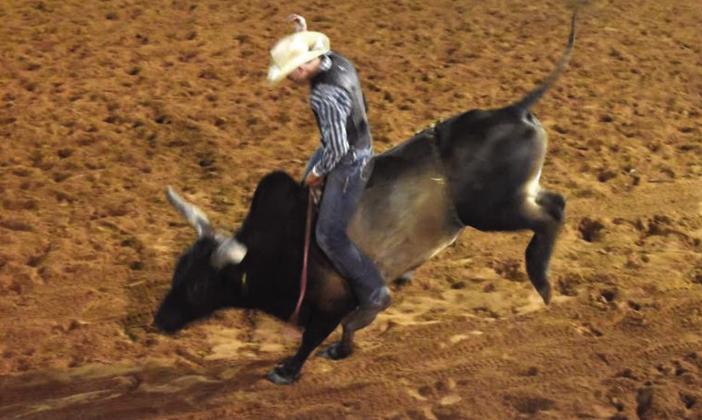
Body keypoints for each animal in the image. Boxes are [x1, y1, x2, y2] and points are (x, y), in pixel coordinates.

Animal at [154, 10, 577, 385]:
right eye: (177, 273)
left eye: (199, 286)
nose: (159, 321)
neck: (277, 248)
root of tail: (513, 111)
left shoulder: (335, 303)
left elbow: (322, 333)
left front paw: (289, 370)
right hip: (517, 195)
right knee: (556, 203)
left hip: (490, 209)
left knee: (547, 219)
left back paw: (541, 280)